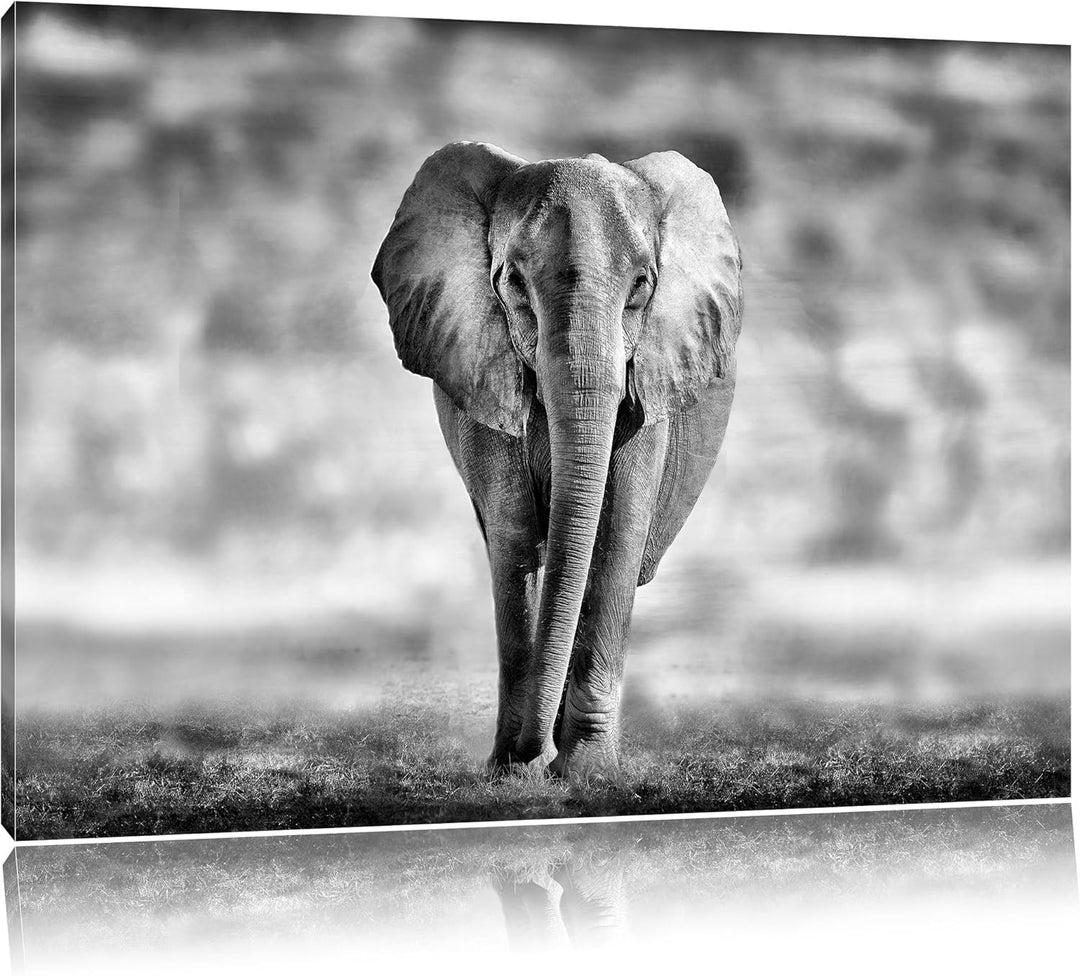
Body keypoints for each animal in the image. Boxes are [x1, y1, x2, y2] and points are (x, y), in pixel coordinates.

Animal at [371, 141, 742, 779]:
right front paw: (512, 773)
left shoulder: (647, 385)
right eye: (514, 284)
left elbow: (615, 536)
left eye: (641, 287)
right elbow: (515, 536)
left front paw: (587, 773)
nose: (532, 752)